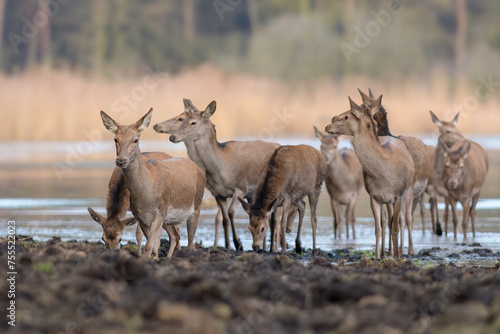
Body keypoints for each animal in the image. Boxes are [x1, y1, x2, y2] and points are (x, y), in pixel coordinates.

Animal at [99, 109, 205, 258]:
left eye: (136, 139)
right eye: (115, 139)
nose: (121, 161)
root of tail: (198, 168)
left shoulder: (159, 212)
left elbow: (148, 244)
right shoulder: (141, 216)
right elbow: (152, 245)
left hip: (197, 205)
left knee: (189, 241)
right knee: (175, 236)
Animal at [324, 96, 414, 258]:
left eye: (347, 116)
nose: (329, 123)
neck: (384, 175)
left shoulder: (397, 195)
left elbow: (396, 227)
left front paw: (397, 257)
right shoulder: (374, 196)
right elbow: (377, 228)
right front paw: (378, 257)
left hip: (408, 191)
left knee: (403, 220)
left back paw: (399, 252)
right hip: (387, 201)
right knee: (386, 221)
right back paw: (386, 253)